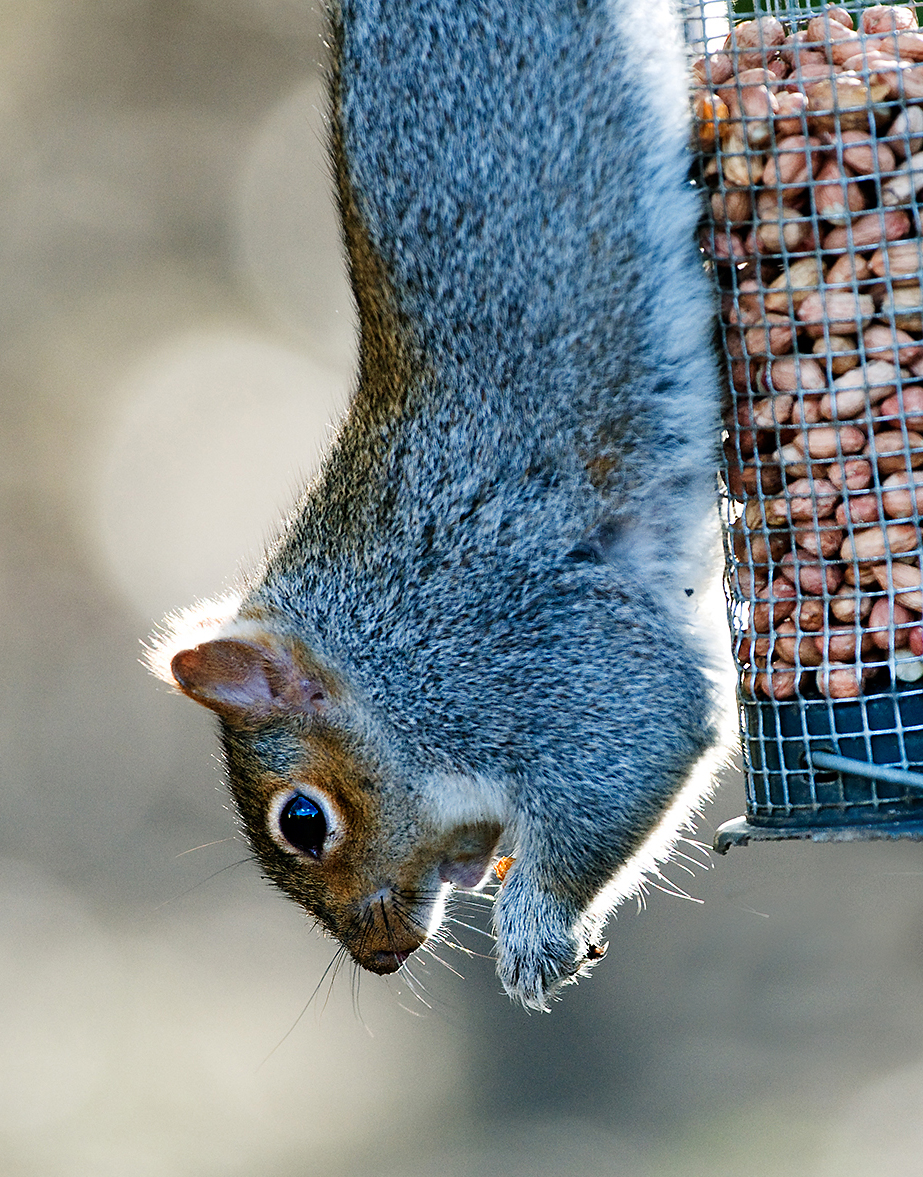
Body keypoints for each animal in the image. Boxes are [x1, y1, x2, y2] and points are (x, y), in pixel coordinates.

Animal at [149, 0, 729, 1012]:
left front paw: (536, 929)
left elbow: (643, 736)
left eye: (303, 820)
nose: (379, 957)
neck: (382, 651)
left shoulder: (522, 653)